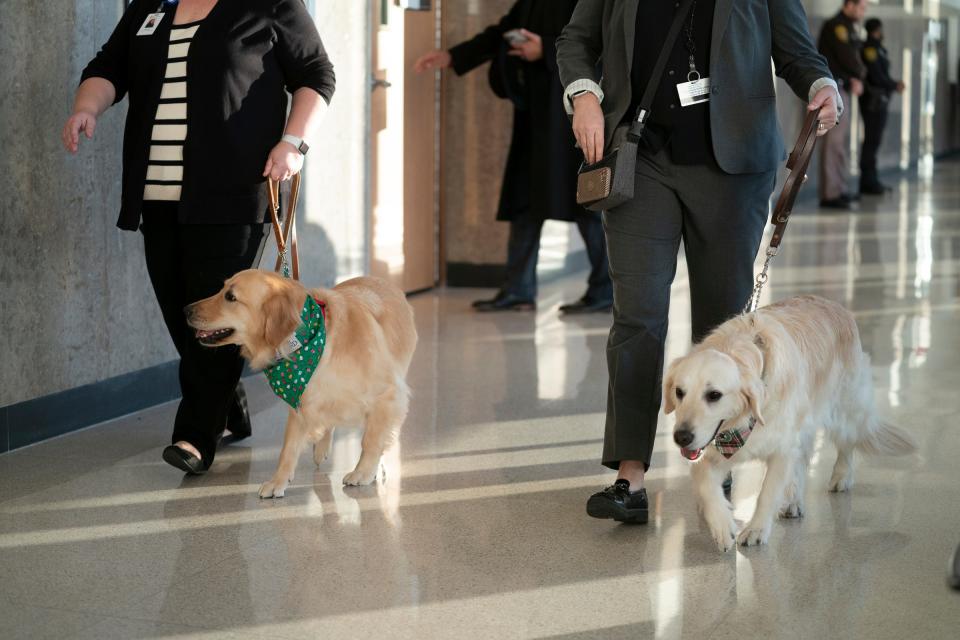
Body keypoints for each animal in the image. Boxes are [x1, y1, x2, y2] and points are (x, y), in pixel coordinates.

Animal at [184, 270, 416, 496]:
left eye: (231, 297)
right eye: (221, 289)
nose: (186, 310)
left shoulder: (387, 395)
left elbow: (371, 439)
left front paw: (364, 471)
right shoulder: (298, 401)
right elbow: (288, 449)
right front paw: (277, 481)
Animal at [664, 296, 920, 552]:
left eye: (714, 395)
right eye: (679, 392)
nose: (681, 437)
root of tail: (835, 304)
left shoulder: (783, 448)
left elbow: (767, 492)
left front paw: (756, 529)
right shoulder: (719, 450)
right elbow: (706, 484)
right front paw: (722, 526)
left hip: (843, 408)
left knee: (847, 442)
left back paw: (841, 477)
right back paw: (793, 502)